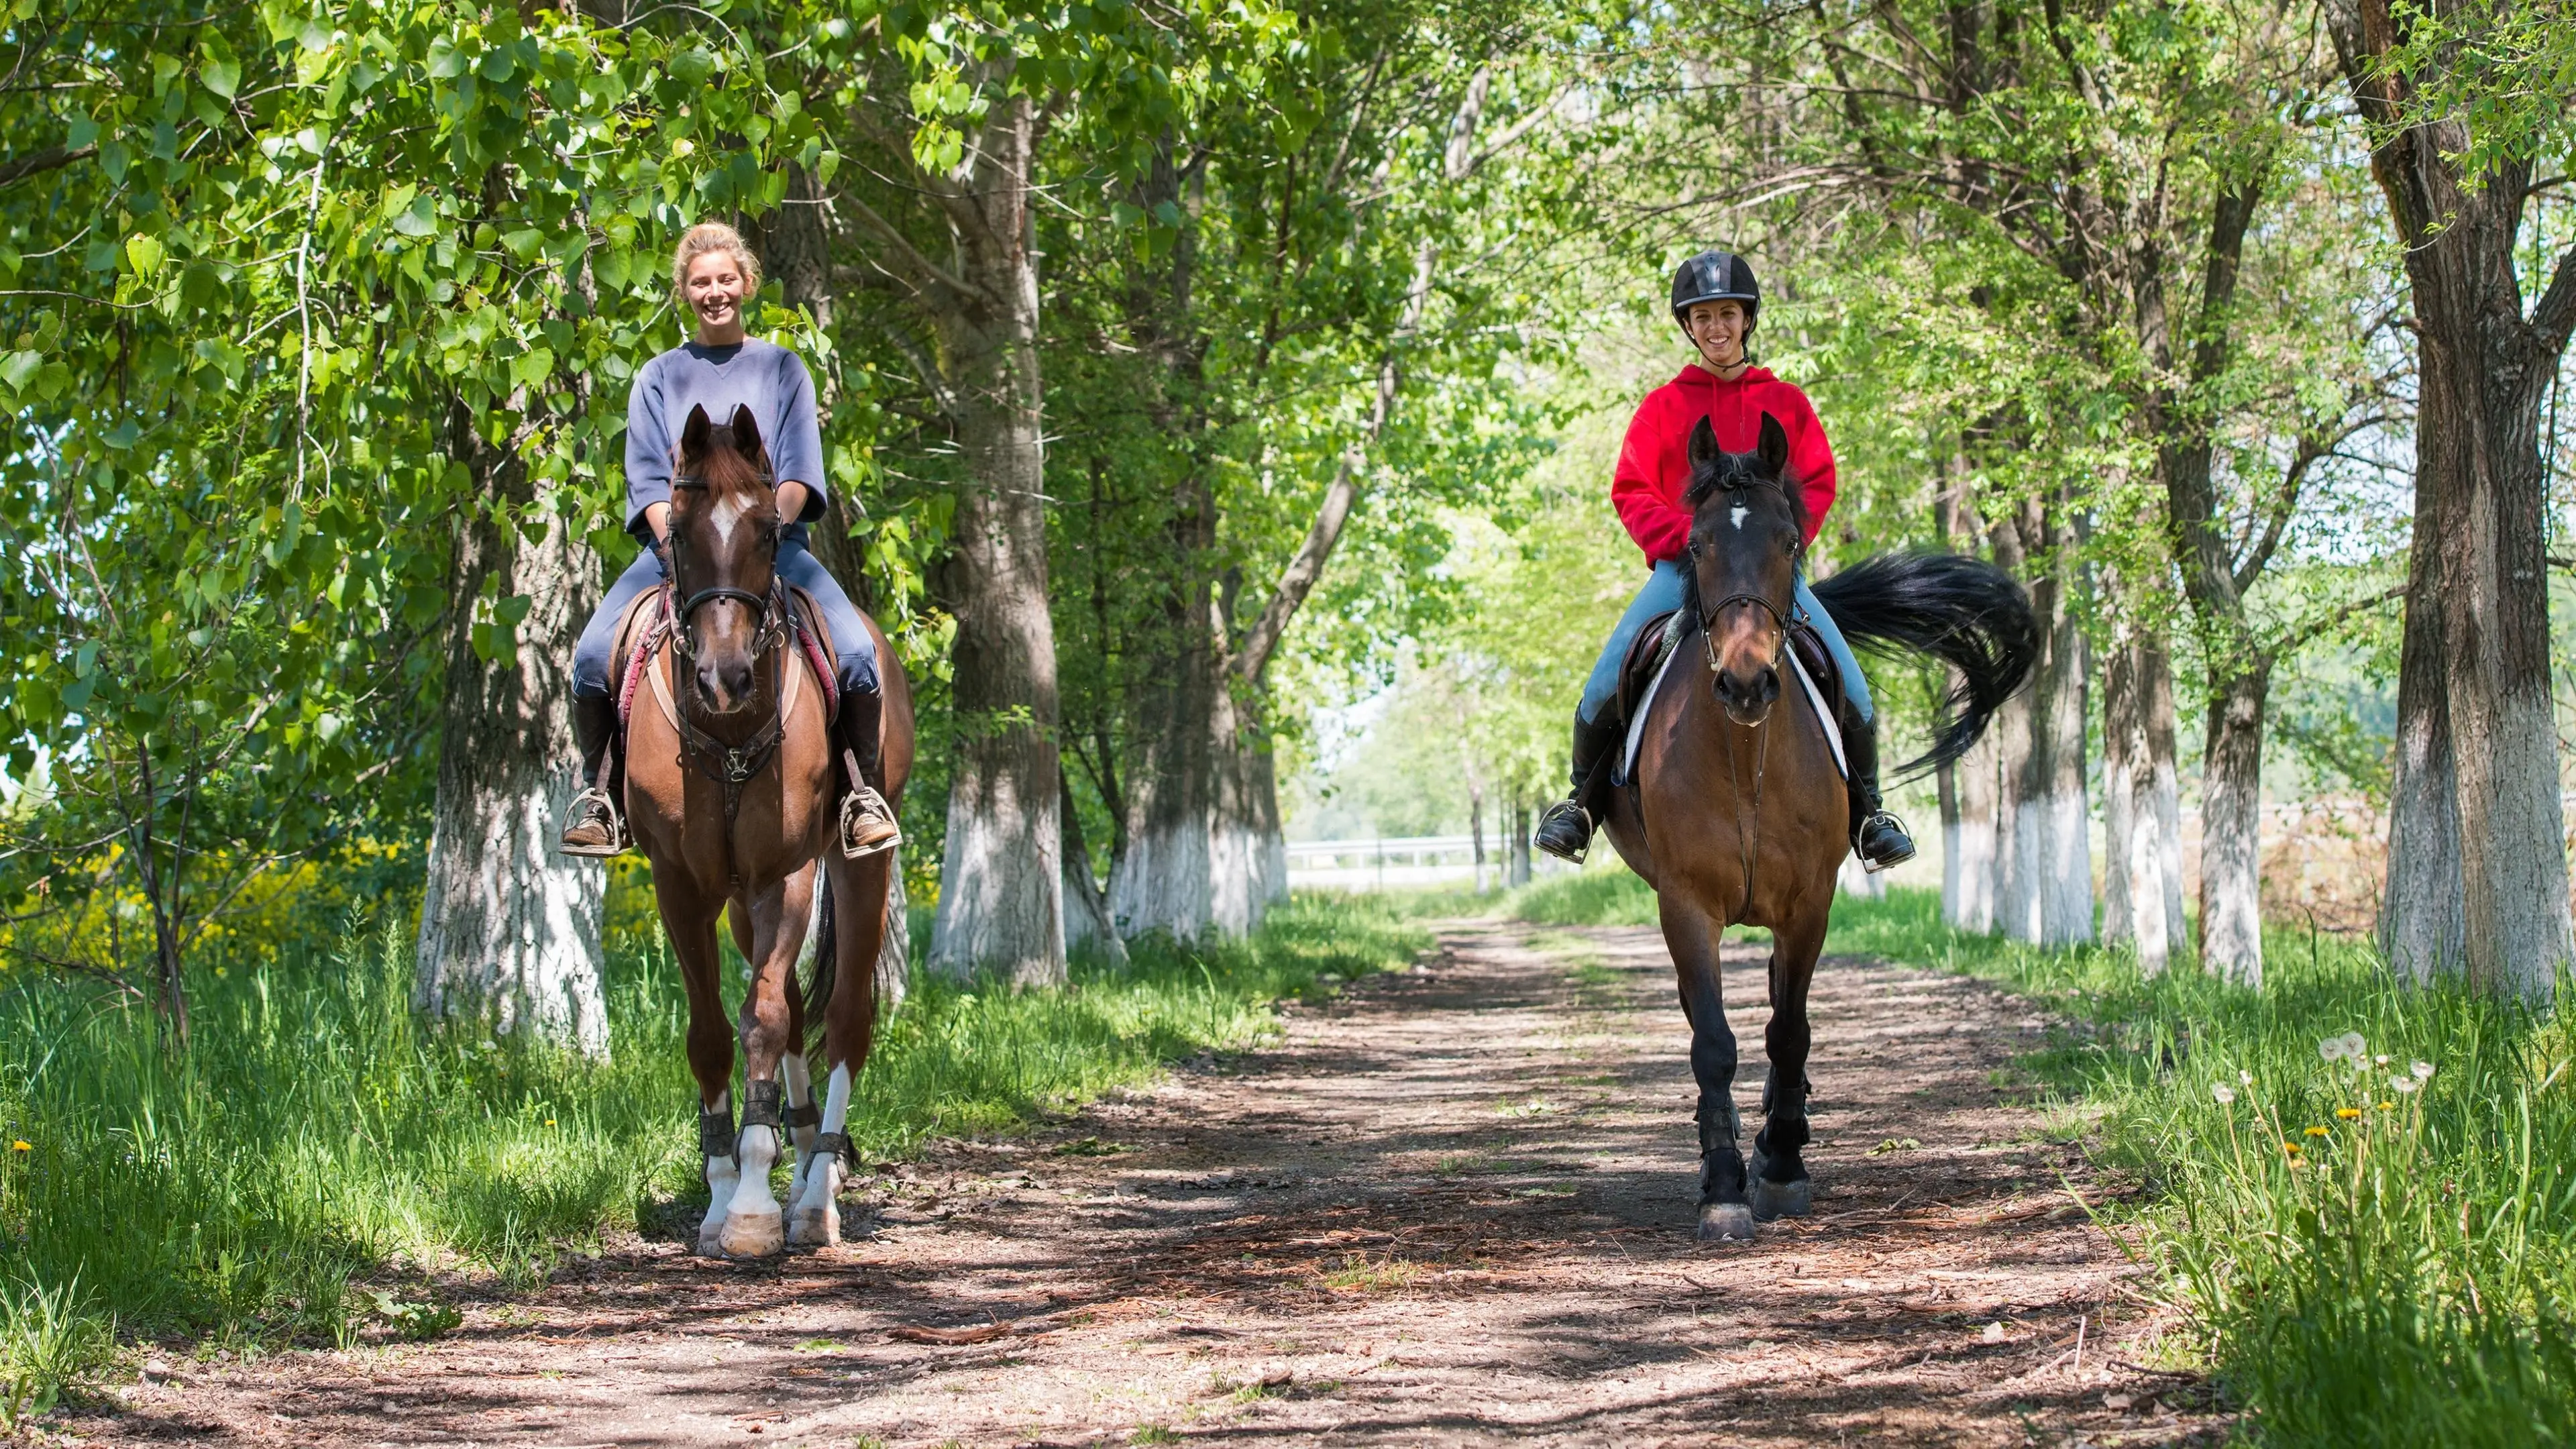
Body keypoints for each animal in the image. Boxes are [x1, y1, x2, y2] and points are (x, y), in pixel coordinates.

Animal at [623, 396, 917, 1252]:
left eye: (764, 530)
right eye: (681, 532)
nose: (725, 678)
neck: (726, 733)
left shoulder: (785, 872)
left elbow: (762, 1020)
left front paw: (753, 1207)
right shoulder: (682, 885)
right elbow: (714, 1033)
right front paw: (723, 1196)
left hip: (856, 865)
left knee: (843, 1019)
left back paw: (815, 1197)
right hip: (741, 902)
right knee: (784, 1002)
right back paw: (799, 1157)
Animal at [1597, 412, 2040, 1237]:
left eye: (1789, 541)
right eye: (1696, 545)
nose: (1746, 683)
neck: (1745, 753)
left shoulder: (1810, 903)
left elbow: (1790, 1030)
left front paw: (1781, 1165)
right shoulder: (1685, 904)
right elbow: (1714, 1041)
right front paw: (1724, 1184)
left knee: (1780, 1010)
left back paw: (1785, 1125)